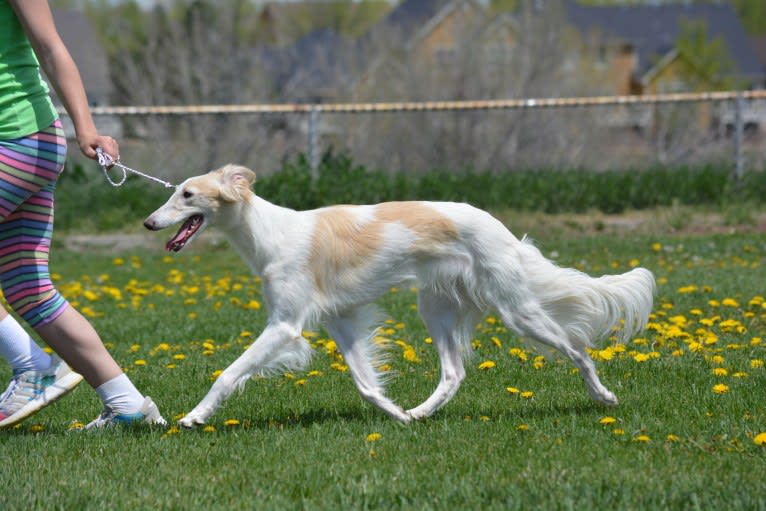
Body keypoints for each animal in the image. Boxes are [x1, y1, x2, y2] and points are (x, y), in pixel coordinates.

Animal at [146, 165, 660, 428]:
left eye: (188, 194)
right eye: (174, 193)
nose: (149, 223)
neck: (270, 233)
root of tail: (503, 231)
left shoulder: (285, 326)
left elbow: (227, 373)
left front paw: (194, 416)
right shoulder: (341, 319)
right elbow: (366, 384)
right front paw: (395, 414)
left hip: (517, 310)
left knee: (578, 349)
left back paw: (604, 396)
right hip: (437, 308)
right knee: (454, 373)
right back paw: (420, 412)